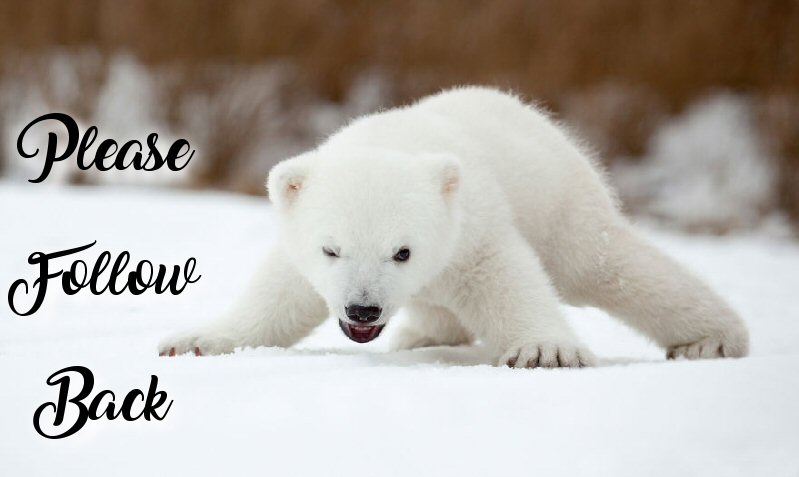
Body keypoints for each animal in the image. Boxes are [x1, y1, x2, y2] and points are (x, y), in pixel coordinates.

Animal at [159, 86, 749, 368]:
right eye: (331, 250)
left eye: (402, 251)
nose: (362, 309)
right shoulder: (301, 247)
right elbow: (279, 297)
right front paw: (194, 341)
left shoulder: (474, 229)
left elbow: (508, 279)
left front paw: (545, 352)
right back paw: (423, 336)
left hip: (561, 202)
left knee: (608, 267)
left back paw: (712, 339)